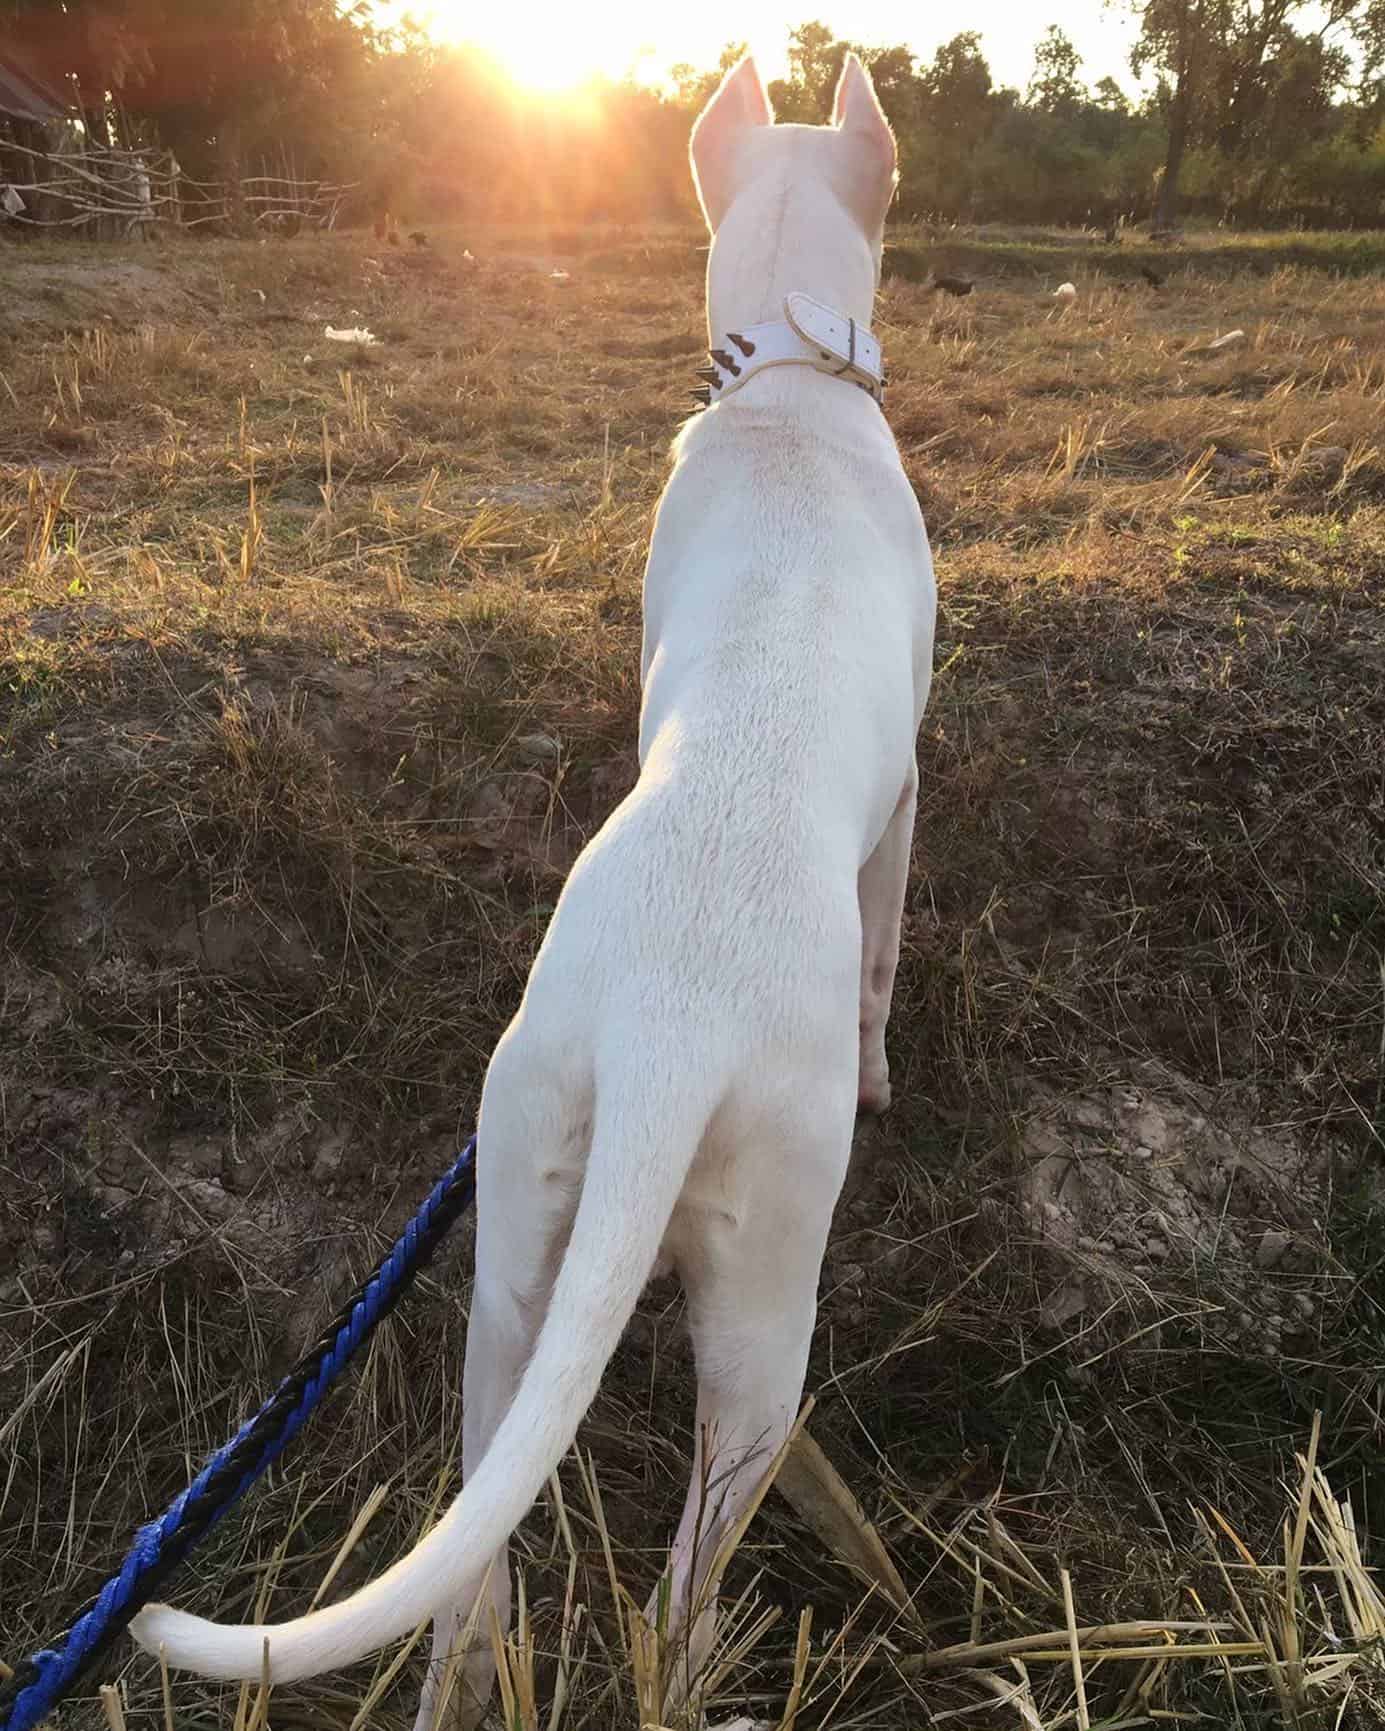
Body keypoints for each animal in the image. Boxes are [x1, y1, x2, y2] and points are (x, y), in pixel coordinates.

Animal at [135, 50, 934, 1731]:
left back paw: (465, 1672)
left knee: (474, 1549)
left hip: (511, 1247)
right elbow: (890, 948)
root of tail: (666, 1036)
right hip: (765, 1307)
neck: (788, 388)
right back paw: (694, 1665)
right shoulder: (904, 799)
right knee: (688, 1568)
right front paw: (892, 1067)